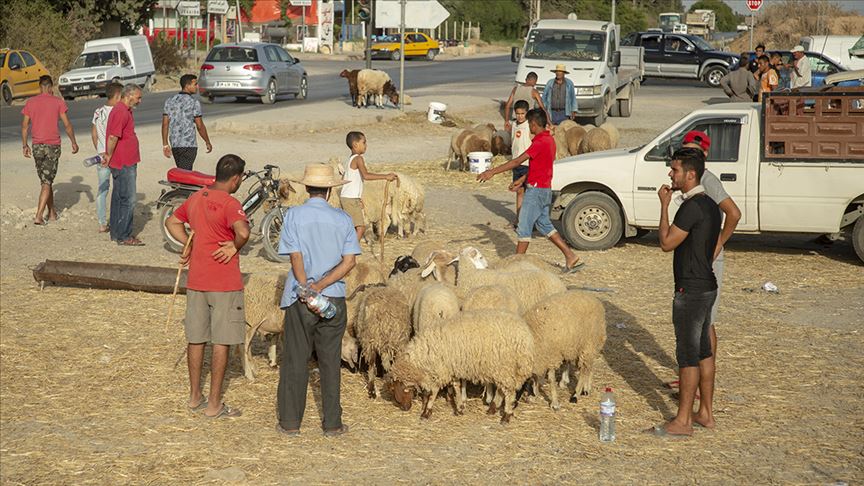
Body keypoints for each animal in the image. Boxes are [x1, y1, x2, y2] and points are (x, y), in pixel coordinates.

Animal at [390, 312, 532, 422]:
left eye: (400, 388)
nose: (405, 408)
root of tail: (526, 337)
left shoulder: (441, 369)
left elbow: (434, 392)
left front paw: (426, 412)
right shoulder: (452, 368)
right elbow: (456, 386)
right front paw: (459, 408)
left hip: (505, 366)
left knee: (509, 391)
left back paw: (506, 415)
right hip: (501, 369)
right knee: (503, 390)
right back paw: (493, 408)